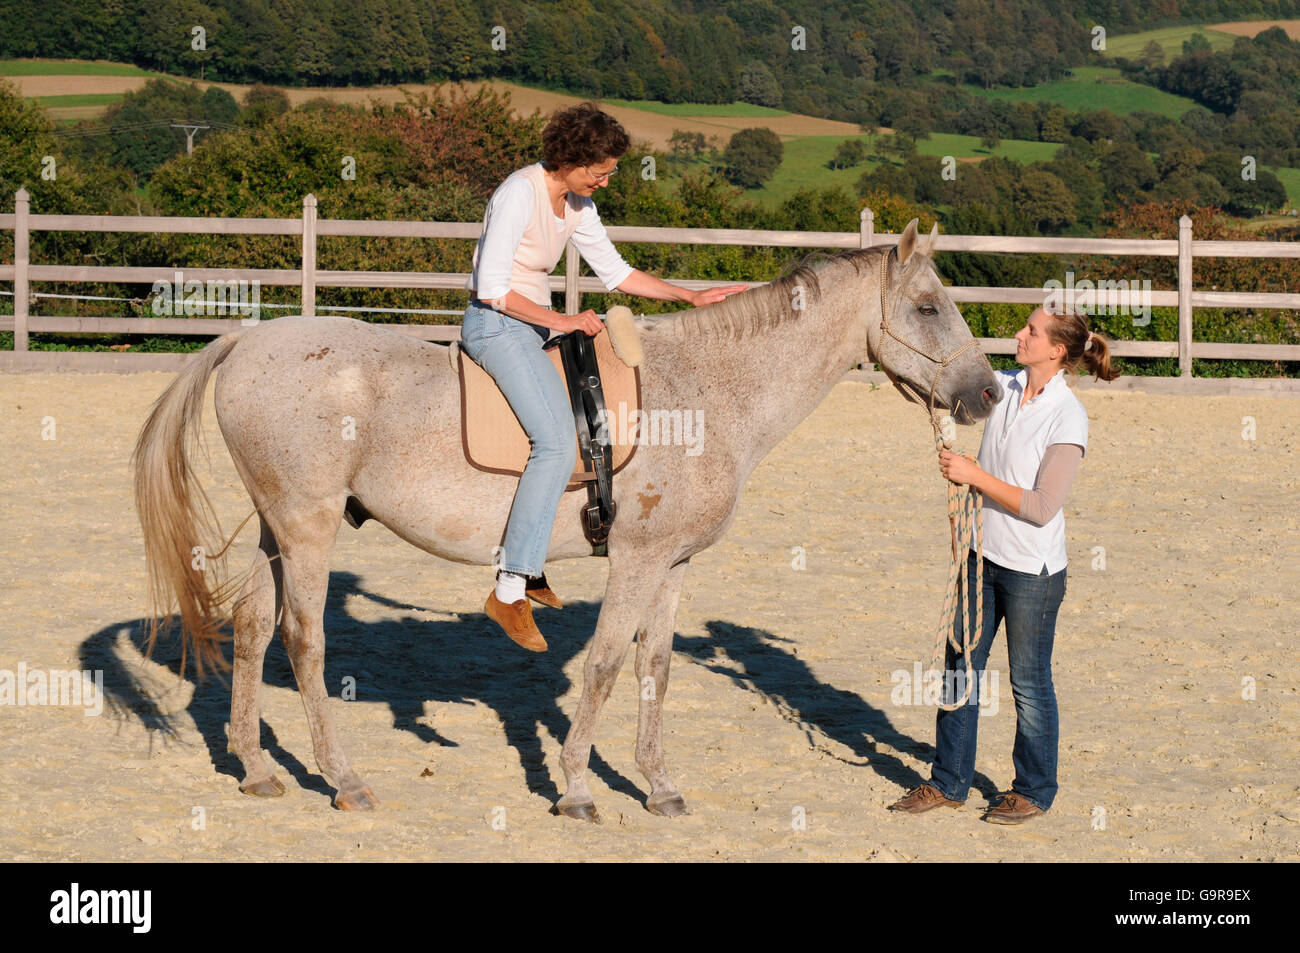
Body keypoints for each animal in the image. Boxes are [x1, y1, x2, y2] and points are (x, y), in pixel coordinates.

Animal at [132, 218, 999, 819]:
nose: (989, 392)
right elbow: (608, 664)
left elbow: (657, 667)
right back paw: (343, 779)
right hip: (308, 529)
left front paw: (658, 785)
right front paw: (580, 785)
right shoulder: (637, 559)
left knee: (251, 629)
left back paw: (257, 768)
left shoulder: (674, 564)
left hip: (277, 530)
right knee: (304, 641)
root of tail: (246, 343)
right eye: (928, 306)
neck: (704, 390)